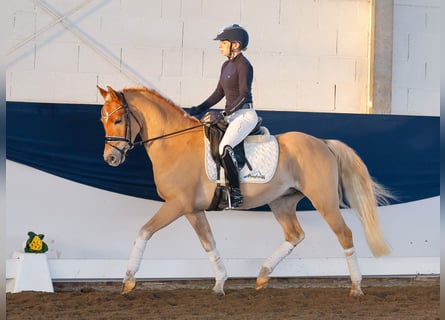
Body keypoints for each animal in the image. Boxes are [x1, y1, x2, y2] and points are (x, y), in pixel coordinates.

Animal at [98, 85, 392, 298]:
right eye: (103, 120)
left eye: (119, 119)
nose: (110, 159)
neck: (174, 143)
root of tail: (322, 142)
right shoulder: (193, 210)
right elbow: (209, 243)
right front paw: (220, 283)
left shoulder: (177, 205)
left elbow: (144, 232)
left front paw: (128, 281)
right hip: (282, 202)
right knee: (295, 235)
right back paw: (262, 275)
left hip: (324, 200)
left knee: (344, 234)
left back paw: (356, 287)